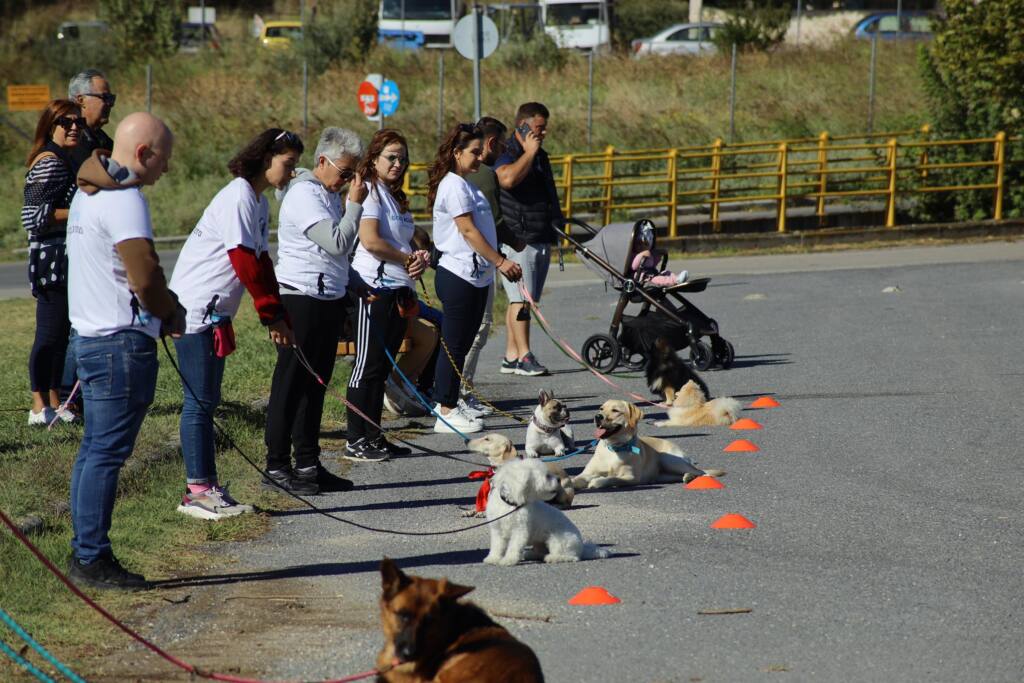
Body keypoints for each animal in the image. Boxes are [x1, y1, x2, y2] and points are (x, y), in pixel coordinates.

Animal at [573, 401, 724, 491]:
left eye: (615, 410)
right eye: (601, 408)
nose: (597, 416)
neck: (614, 447)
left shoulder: (631, 477)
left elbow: (610, 478)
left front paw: (597, 482)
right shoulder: (587, 473)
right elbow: (576, 479)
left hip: (668, 459)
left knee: (701, 472)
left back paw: (692, 477)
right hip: (665, 473)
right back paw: (687, 477)